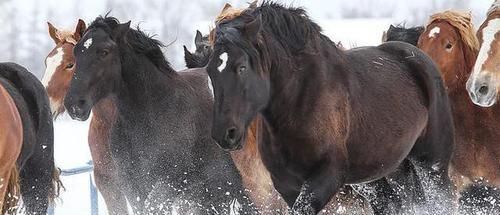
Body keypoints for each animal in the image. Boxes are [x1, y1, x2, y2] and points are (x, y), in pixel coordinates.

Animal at [206, 2, 458, 215]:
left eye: (241, 67)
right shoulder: (286, 184)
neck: (298, 102)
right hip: (384, 174)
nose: (225, 134)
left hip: (431, 165)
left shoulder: (326, 177)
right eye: (209, 70)